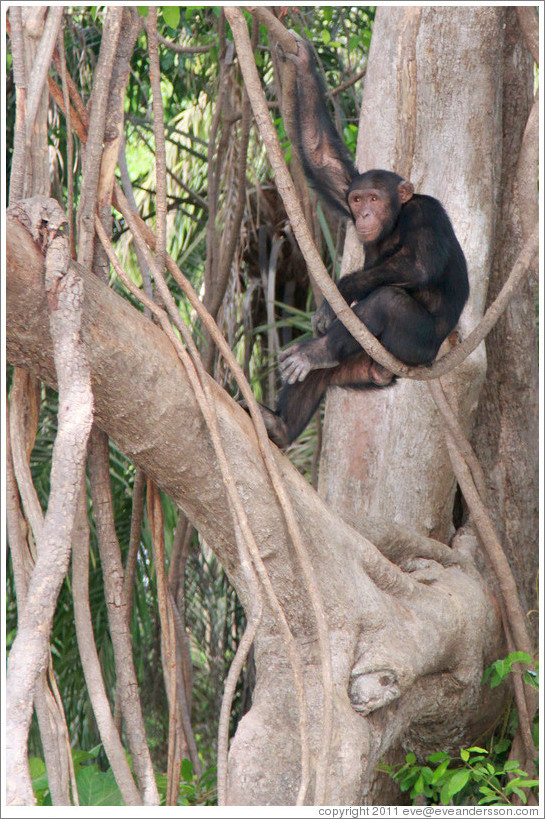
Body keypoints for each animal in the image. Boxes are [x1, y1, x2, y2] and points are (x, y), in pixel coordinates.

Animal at [260, 38, 468, 448]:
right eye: (357, 200)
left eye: (375, 198)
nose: (366, 214)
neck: (395, 221)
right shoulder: (344, 186)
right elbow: (323, 159)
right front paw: (303, 62)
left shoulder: (427, 213)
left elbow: (418, 263)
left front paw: (337, 294)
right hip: (364, 367)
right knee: (324, 376)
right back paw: (281, 424)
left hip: (414, 348)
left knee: (388, 303)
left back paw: (318, 350)